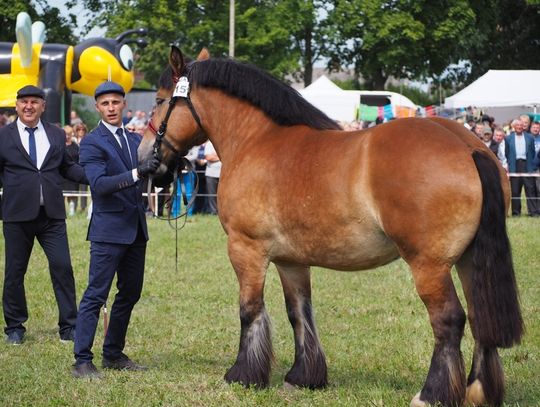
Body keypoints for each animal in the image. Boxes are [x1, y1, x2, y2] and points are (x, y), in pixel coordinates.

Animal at [139, 46, 524, 406]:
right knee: (481, 317)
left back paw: (431, 394)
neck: (256, 141)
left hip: (429, 266)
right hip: (469, 259)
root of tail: (470, 147)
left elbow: (249, 309)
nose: (145, 161)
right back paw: (478, 391)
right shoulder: (291, 261)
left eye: (158, 100)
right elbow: (299, 313)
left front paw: (243, 375)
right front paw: (302, 377)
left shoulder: (246, 249)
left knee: (449, 320)